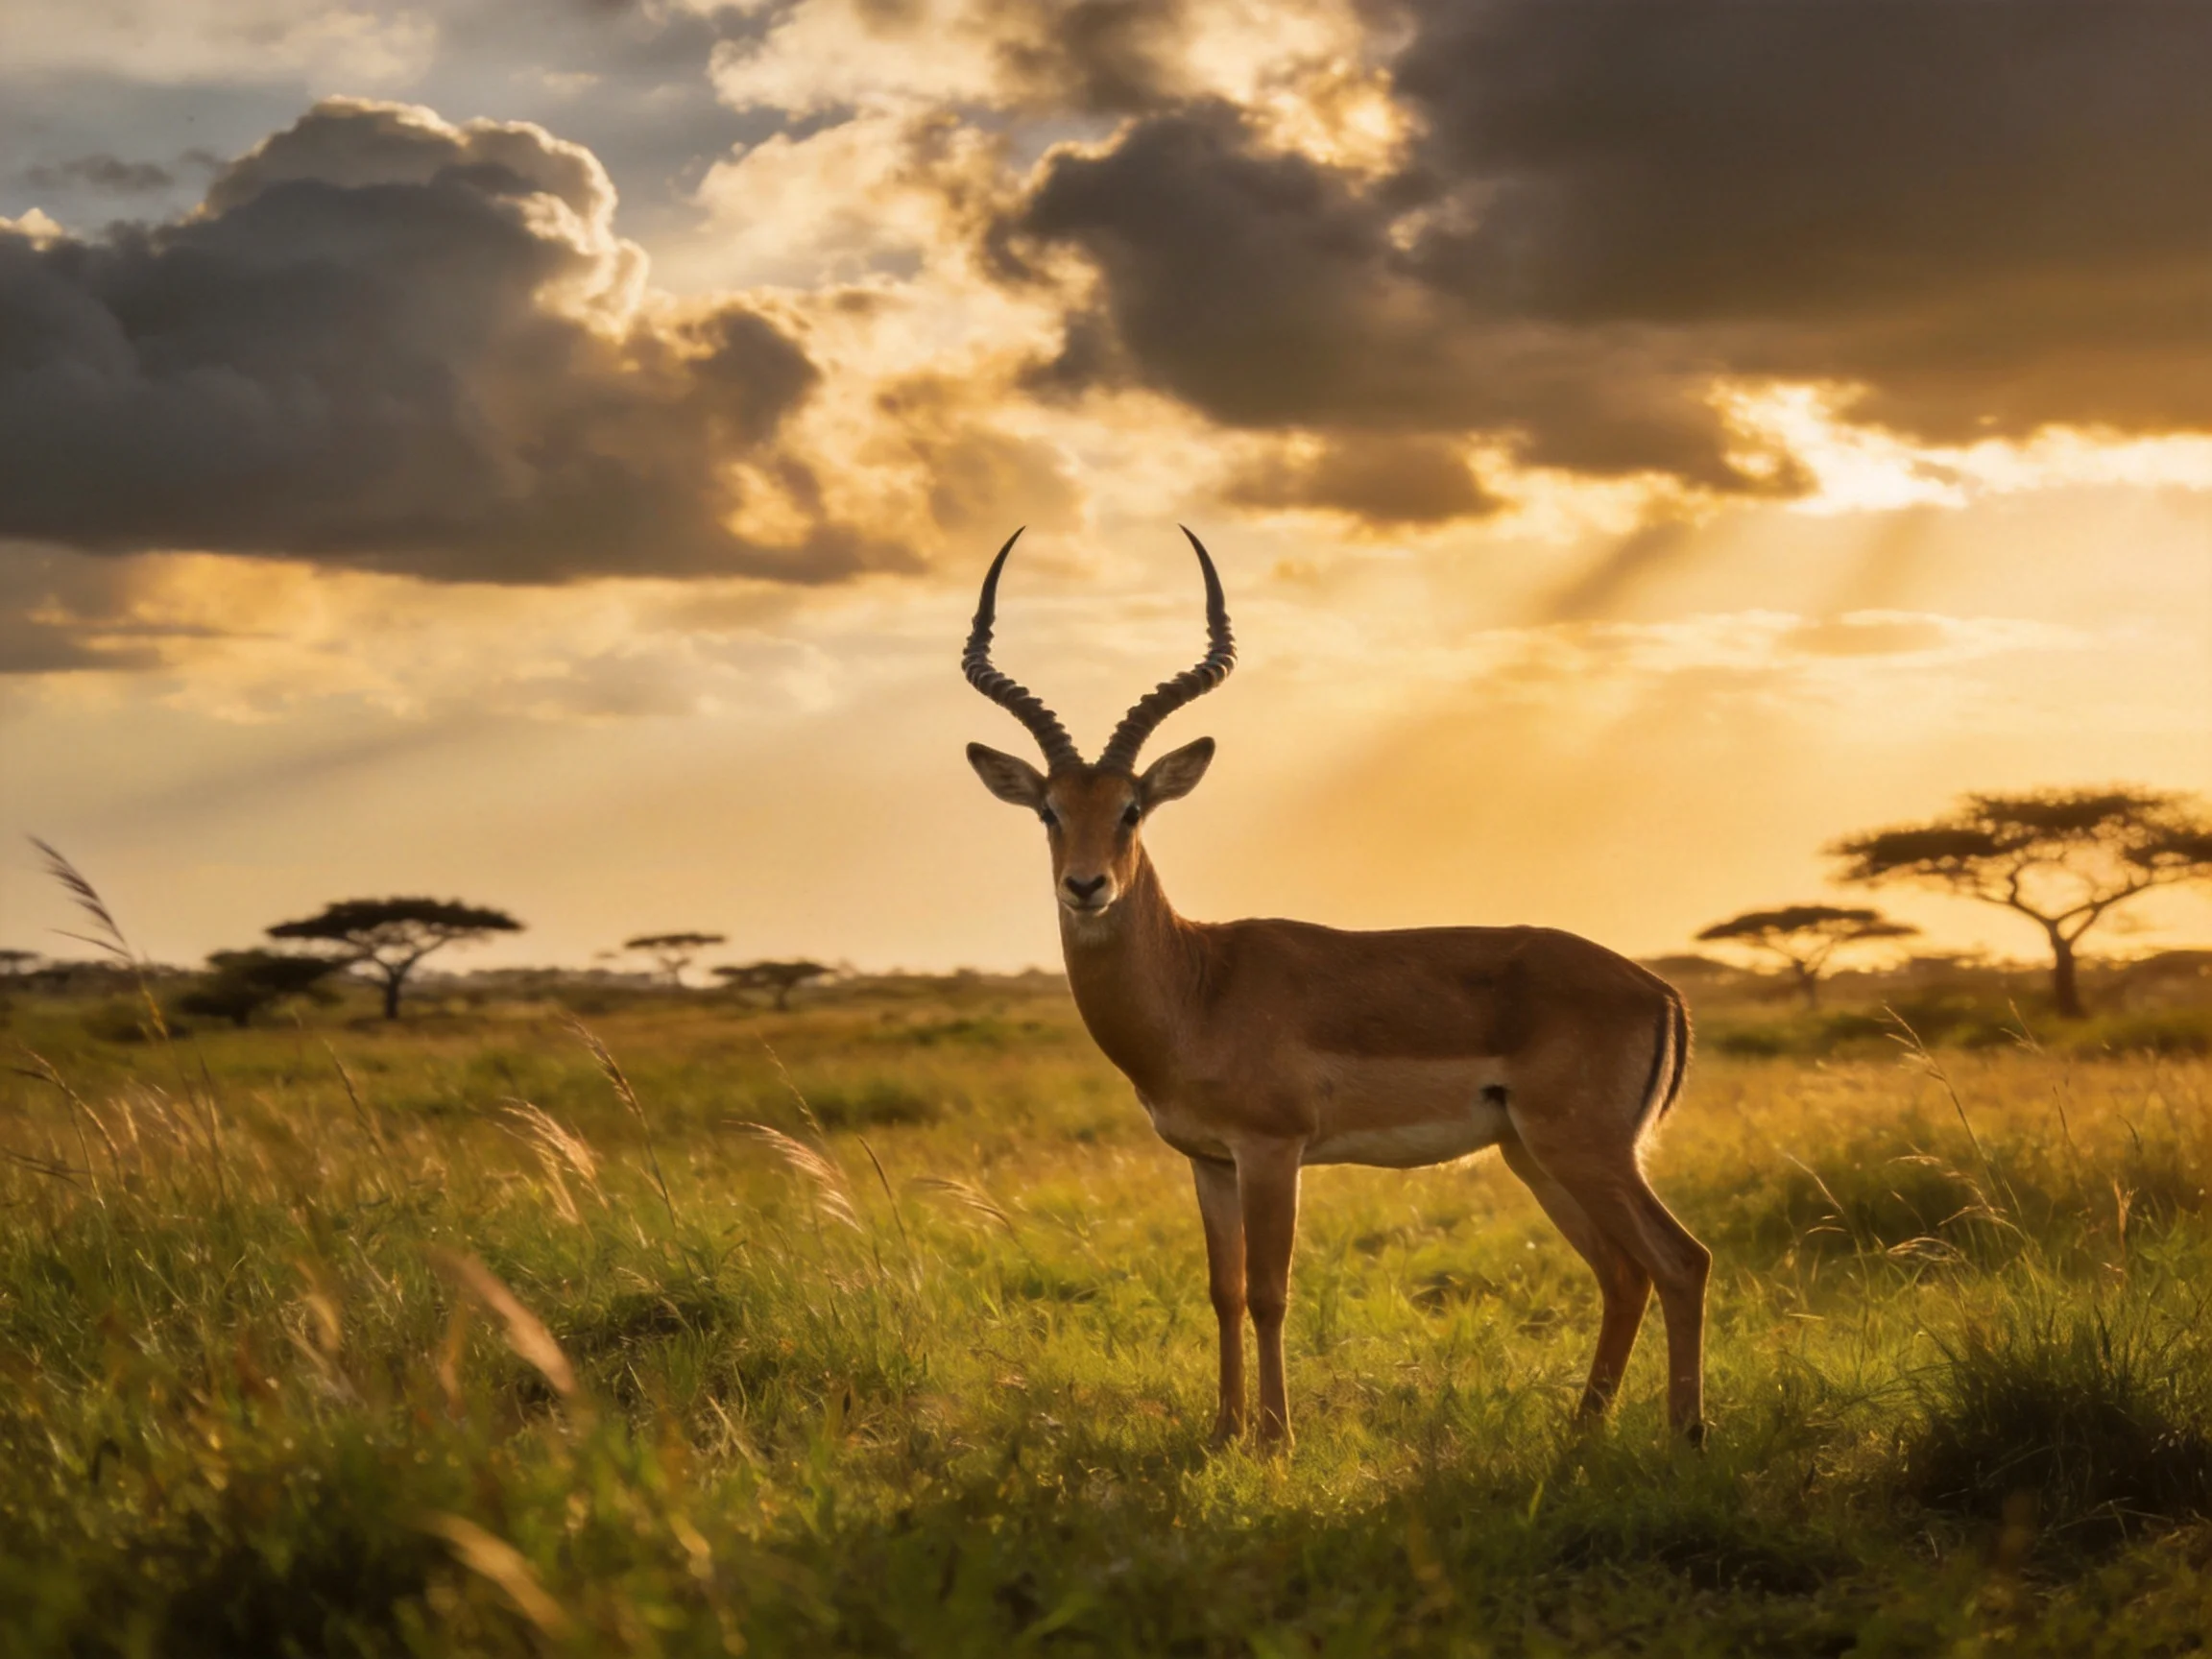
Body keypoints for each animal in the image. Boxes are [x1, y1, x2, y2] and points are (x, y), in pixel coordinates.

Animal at [962, 529, 1709, 1448]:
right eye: (1049, 811)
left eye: (1133, 808)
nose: (1086, 886)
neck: (1197, 987)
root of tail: (1658, 989)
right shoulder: (1209, 1162)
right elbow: (1223, 1291)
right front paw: (1223, 1432)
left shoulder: (1273, 1150)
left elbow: (1270, 1292)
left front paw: (1276, 1438)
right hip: (1535, 1154)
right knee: (1623, 1273)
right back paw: (1583, 1429)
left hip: (1587, 1149)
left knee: (1680, 1260)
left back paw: (1686, 1435)